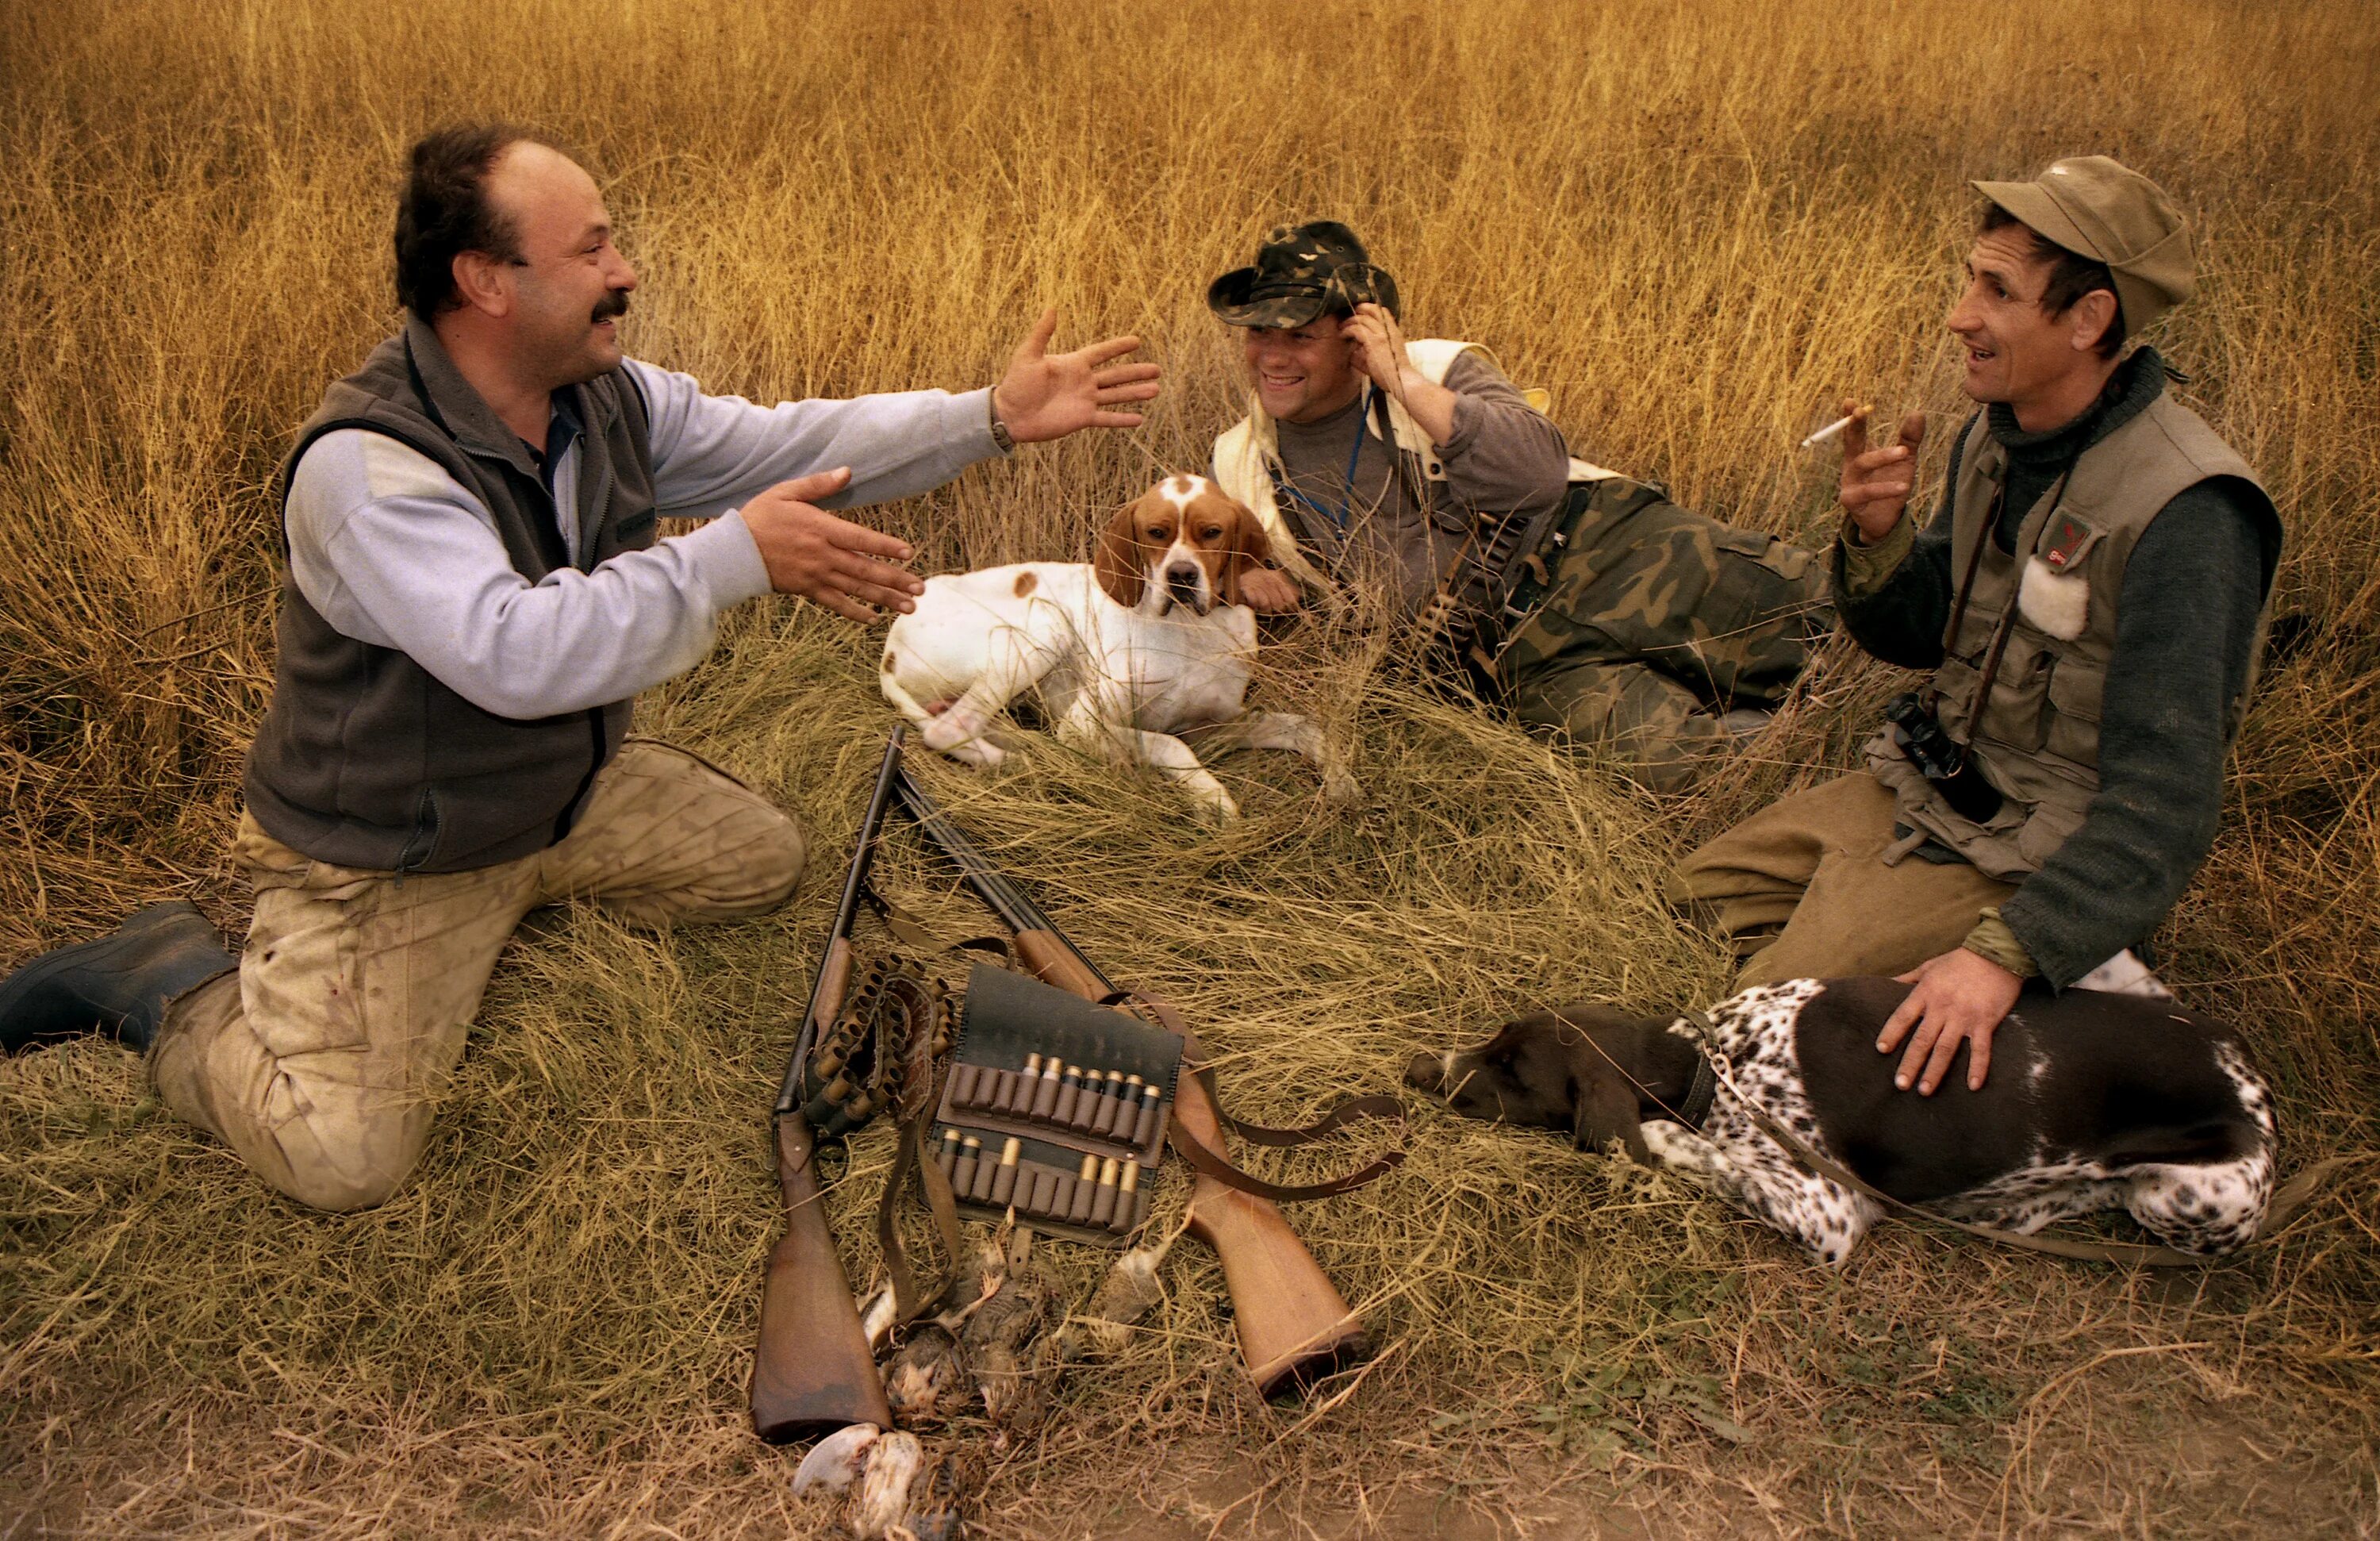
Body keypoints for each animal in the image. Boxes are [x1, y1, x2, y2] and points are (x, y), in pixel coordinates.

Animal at [1399, 976, 2275, 1266]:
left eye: (1514, 1075)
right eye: (1494, 1041)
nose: (1418, 1070)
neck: (1715, 1061)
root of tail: (2246, 1066)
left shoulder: (1827, 1214)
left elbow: (1670, 1142)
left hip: (2202, 1200)